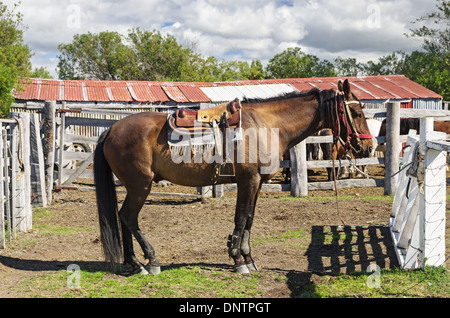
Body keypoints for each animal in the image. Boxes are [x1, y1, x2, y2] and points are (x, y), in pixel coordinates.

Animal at [92, 79, 372, 274]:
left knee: (124, 218)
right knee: (129, 217)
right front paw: (239, 260)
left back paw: (133, 263)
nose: (367, 148)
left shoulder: (257, 183)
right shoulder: (248, 181)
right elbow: (240, 218)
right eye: (357, 113)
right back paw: (150, 260)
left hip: (135, 187)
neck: (265, 126)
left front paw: (247, 257)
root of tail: (112, 129)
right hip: (140, 186)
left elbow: (249, 220)